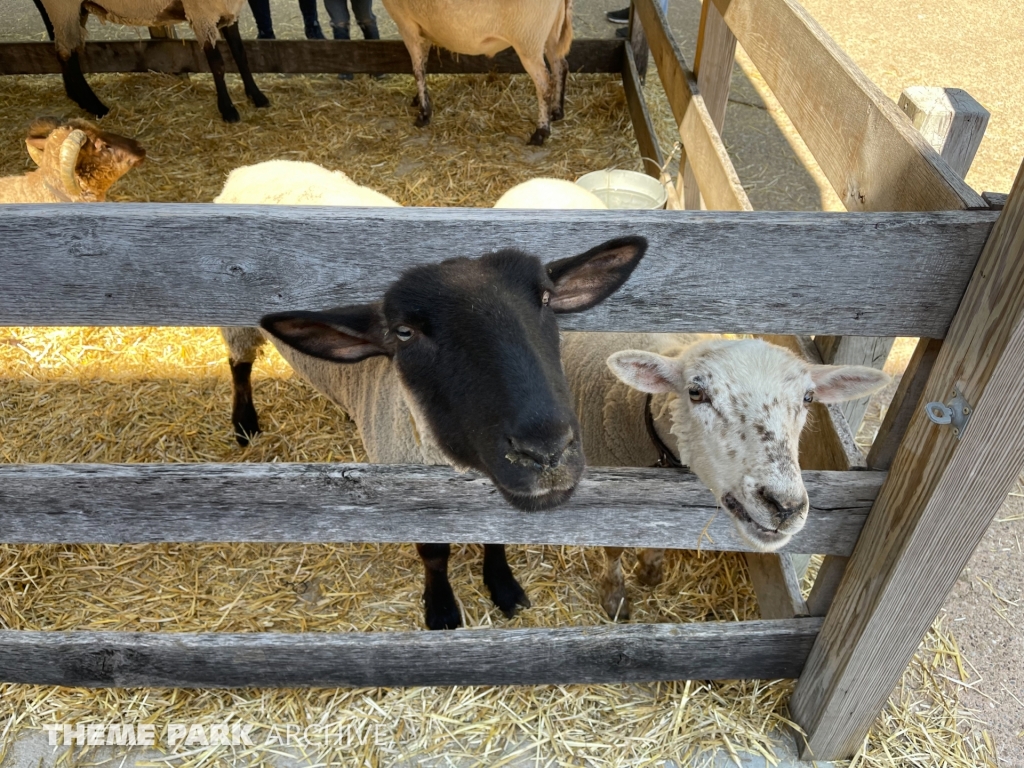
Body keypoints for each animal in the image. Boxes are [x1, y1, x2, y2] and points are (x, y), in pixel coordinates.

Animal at [41, 0, 270, 122]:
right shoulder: (201, 14)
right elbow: (218, 65)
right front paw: (228, 110)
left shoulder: (227, 10)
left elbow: (240, 55)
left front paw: (257, 97)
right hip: (61, 7)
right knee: (65, 53)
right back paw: (96, 107)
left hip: (75, 8)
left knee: (68, 51)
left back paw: (80, 99)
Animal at [385, 0, 577, 145]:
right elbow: (424, 65)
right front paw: (419, 99)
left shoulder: (407, 24)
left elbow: (417, 69)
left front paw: (424, 114)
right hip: (551, 31)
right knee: (560, 65)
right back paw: (556, 112)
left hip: (528, 38)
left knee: (544, 83)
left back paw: (541, 132)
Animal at [561, 333, 888, 622]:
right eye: (695, 392)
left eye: (808, 397)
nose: (785, 507)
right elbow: (613, 547)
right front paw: (615, 596)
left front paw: (650, 571)